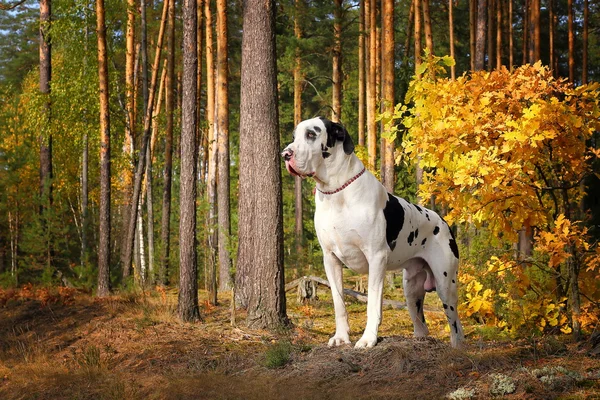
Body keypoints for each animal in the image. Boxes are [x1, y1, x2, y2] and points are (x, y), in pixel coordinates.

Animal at [282, 117, 464, 348]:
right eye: (294, 136)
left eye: (311, 134)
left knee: (456, 325)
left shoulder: (376, 258)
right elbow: (339, 303)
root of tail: (444, 222)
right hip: (411, 290)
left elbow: (372, 305)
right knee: (421, 325)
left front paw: (368, 339)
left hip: (445, 284)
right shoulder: (330, 260)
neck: (336, 193)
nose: (285, 154)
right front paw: (341, 337)